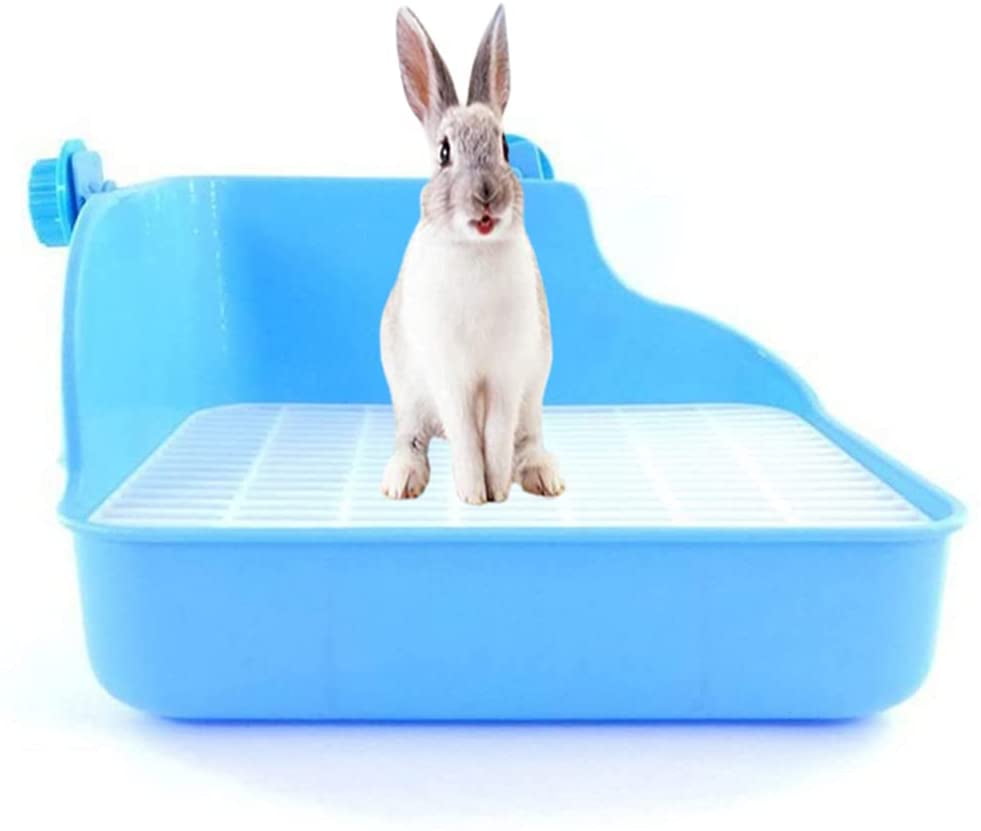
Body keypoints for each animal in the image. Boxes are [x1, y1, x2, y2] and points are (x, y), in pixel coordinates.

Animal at [380, 5, 564, 505]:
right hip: (409, 399)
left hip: (532, 398)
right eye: (444, 152)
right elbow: (467, 437)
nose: (486, 197)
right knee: (413, 439)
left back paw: (544, 476)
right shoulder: (452, 376)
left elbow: (495, 439)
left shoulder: (506, 375)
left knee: (526, 440)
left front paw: (496, 492)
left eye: (504, 147)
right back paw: (400, 481)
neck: (475, 250)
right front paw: (472, 494)